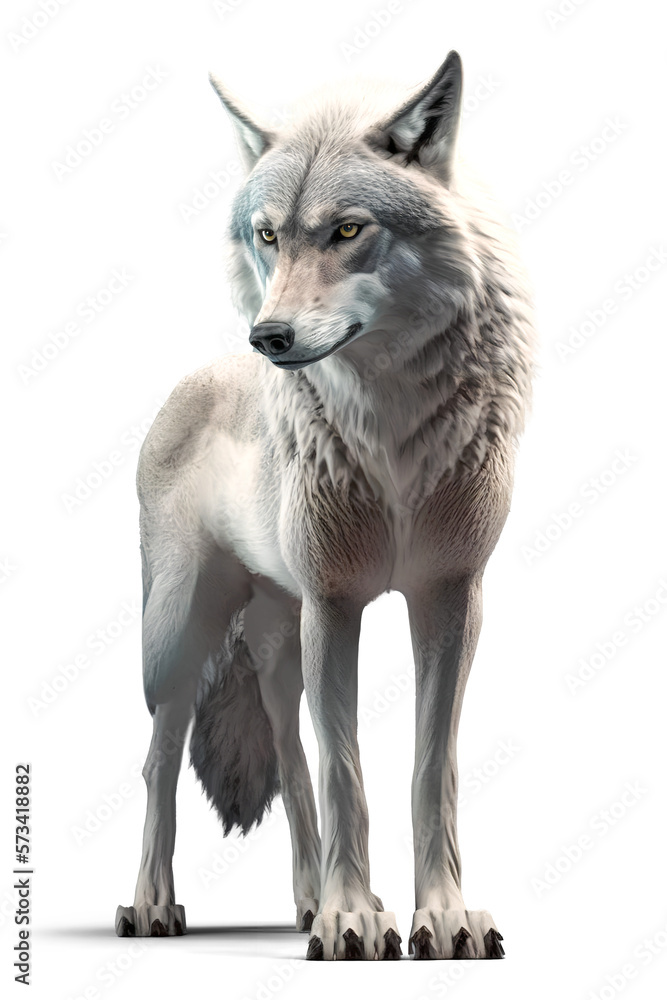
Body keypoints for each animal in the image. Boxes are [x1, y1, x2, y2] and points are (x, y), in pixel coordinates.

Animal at [115, 50, 535, 961]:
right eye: (268, 234)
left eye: (347, 230)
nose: (268, 339)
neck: (391, 437)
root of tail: (192, 379)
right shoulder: (336, 603)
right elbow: (349, 770)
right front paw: (353, 920)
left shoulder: (449, 599)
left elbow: (427, 771)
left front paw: (436, 916)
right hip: (181, 636)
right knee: (160, 758)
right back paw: (153, 905)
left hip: (280, 634)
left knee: (288, 751)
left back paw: (308, 902)